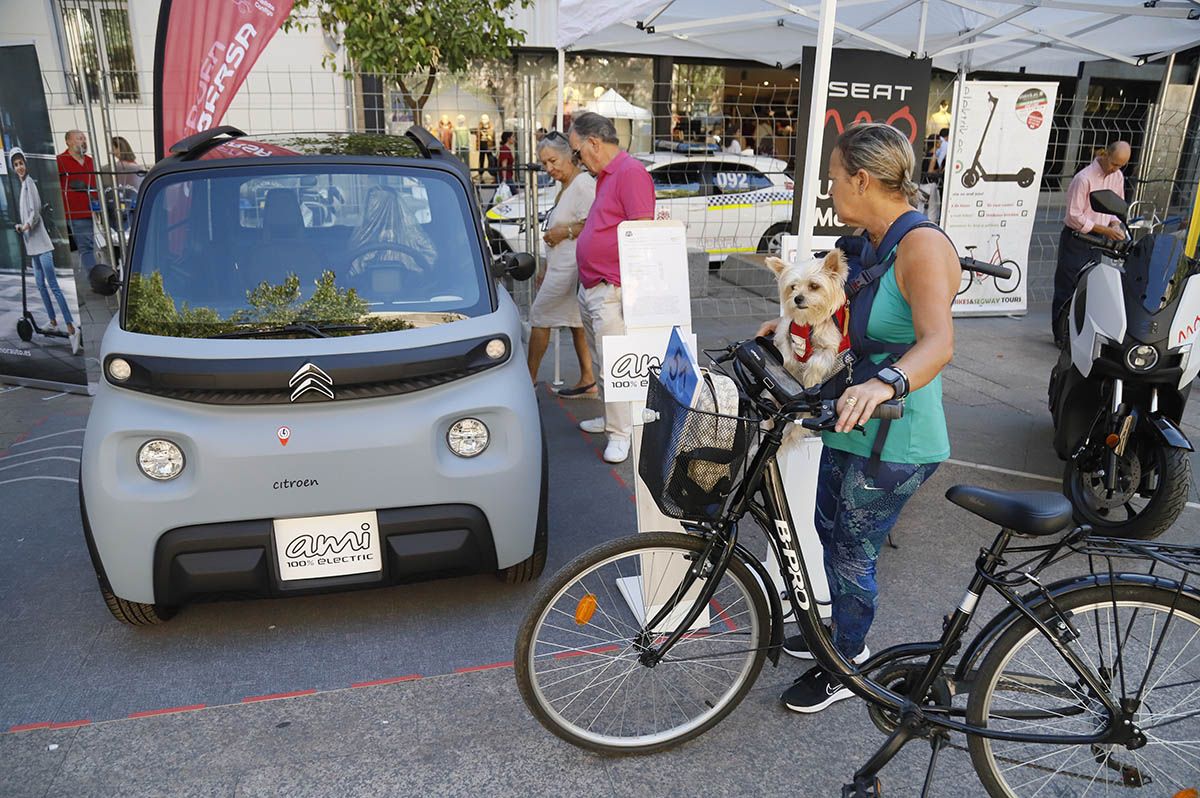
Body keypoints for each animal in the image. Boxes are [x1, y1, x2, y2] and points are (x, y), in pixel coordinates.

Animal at [763, 247, 849, 386]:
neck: (809, 320)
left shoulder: (828, 346)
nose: (797, 299)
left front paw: (810, 382)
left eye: (814, 286)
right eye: (793, 287)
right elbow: (787, 356)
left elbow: (816, 363)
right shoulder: (784, 334)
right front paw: (790, 370)